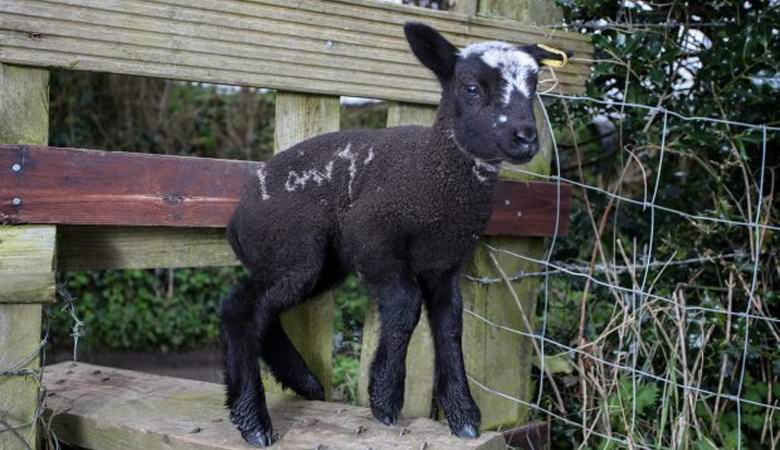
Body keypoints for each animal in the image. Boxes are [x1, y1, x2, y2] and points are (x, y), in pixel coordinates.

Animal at [222, 22, 568, 446]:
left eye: (534, 88)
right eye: (471, 87)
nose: (525, 137)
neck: (433, 175)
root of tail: (238, 218)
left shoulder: (444, 264)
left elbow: (450, 326)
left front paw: (464, 415)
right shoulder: (373, 238)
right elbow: (405, 306)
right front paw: (385, 398)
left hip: (318, 262)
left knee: (265, 313)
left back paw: (304, 383)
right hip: (293, 247)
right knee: (239, 308)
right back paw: (254, 421)